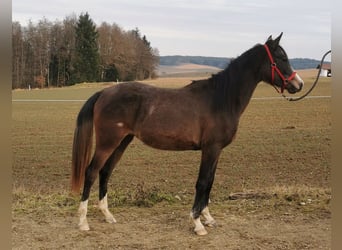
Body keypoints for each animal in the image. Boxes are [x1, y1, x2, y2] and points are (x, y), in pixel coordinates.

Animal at [71, 32, 304, 234]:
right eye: (281, 58)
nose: (298, 84)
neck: (220, 98)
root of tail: (104, 92)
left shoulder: (216, 150)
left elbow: (210, 182)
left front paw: (208, 218)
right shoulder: (210, 149)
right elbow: (202, 182)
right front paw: (197, 223)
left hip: (122, 141)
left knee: (105, 172)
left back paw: (108, 215)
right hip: (108, 142)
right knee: (91, 172)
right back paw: (83, 222)